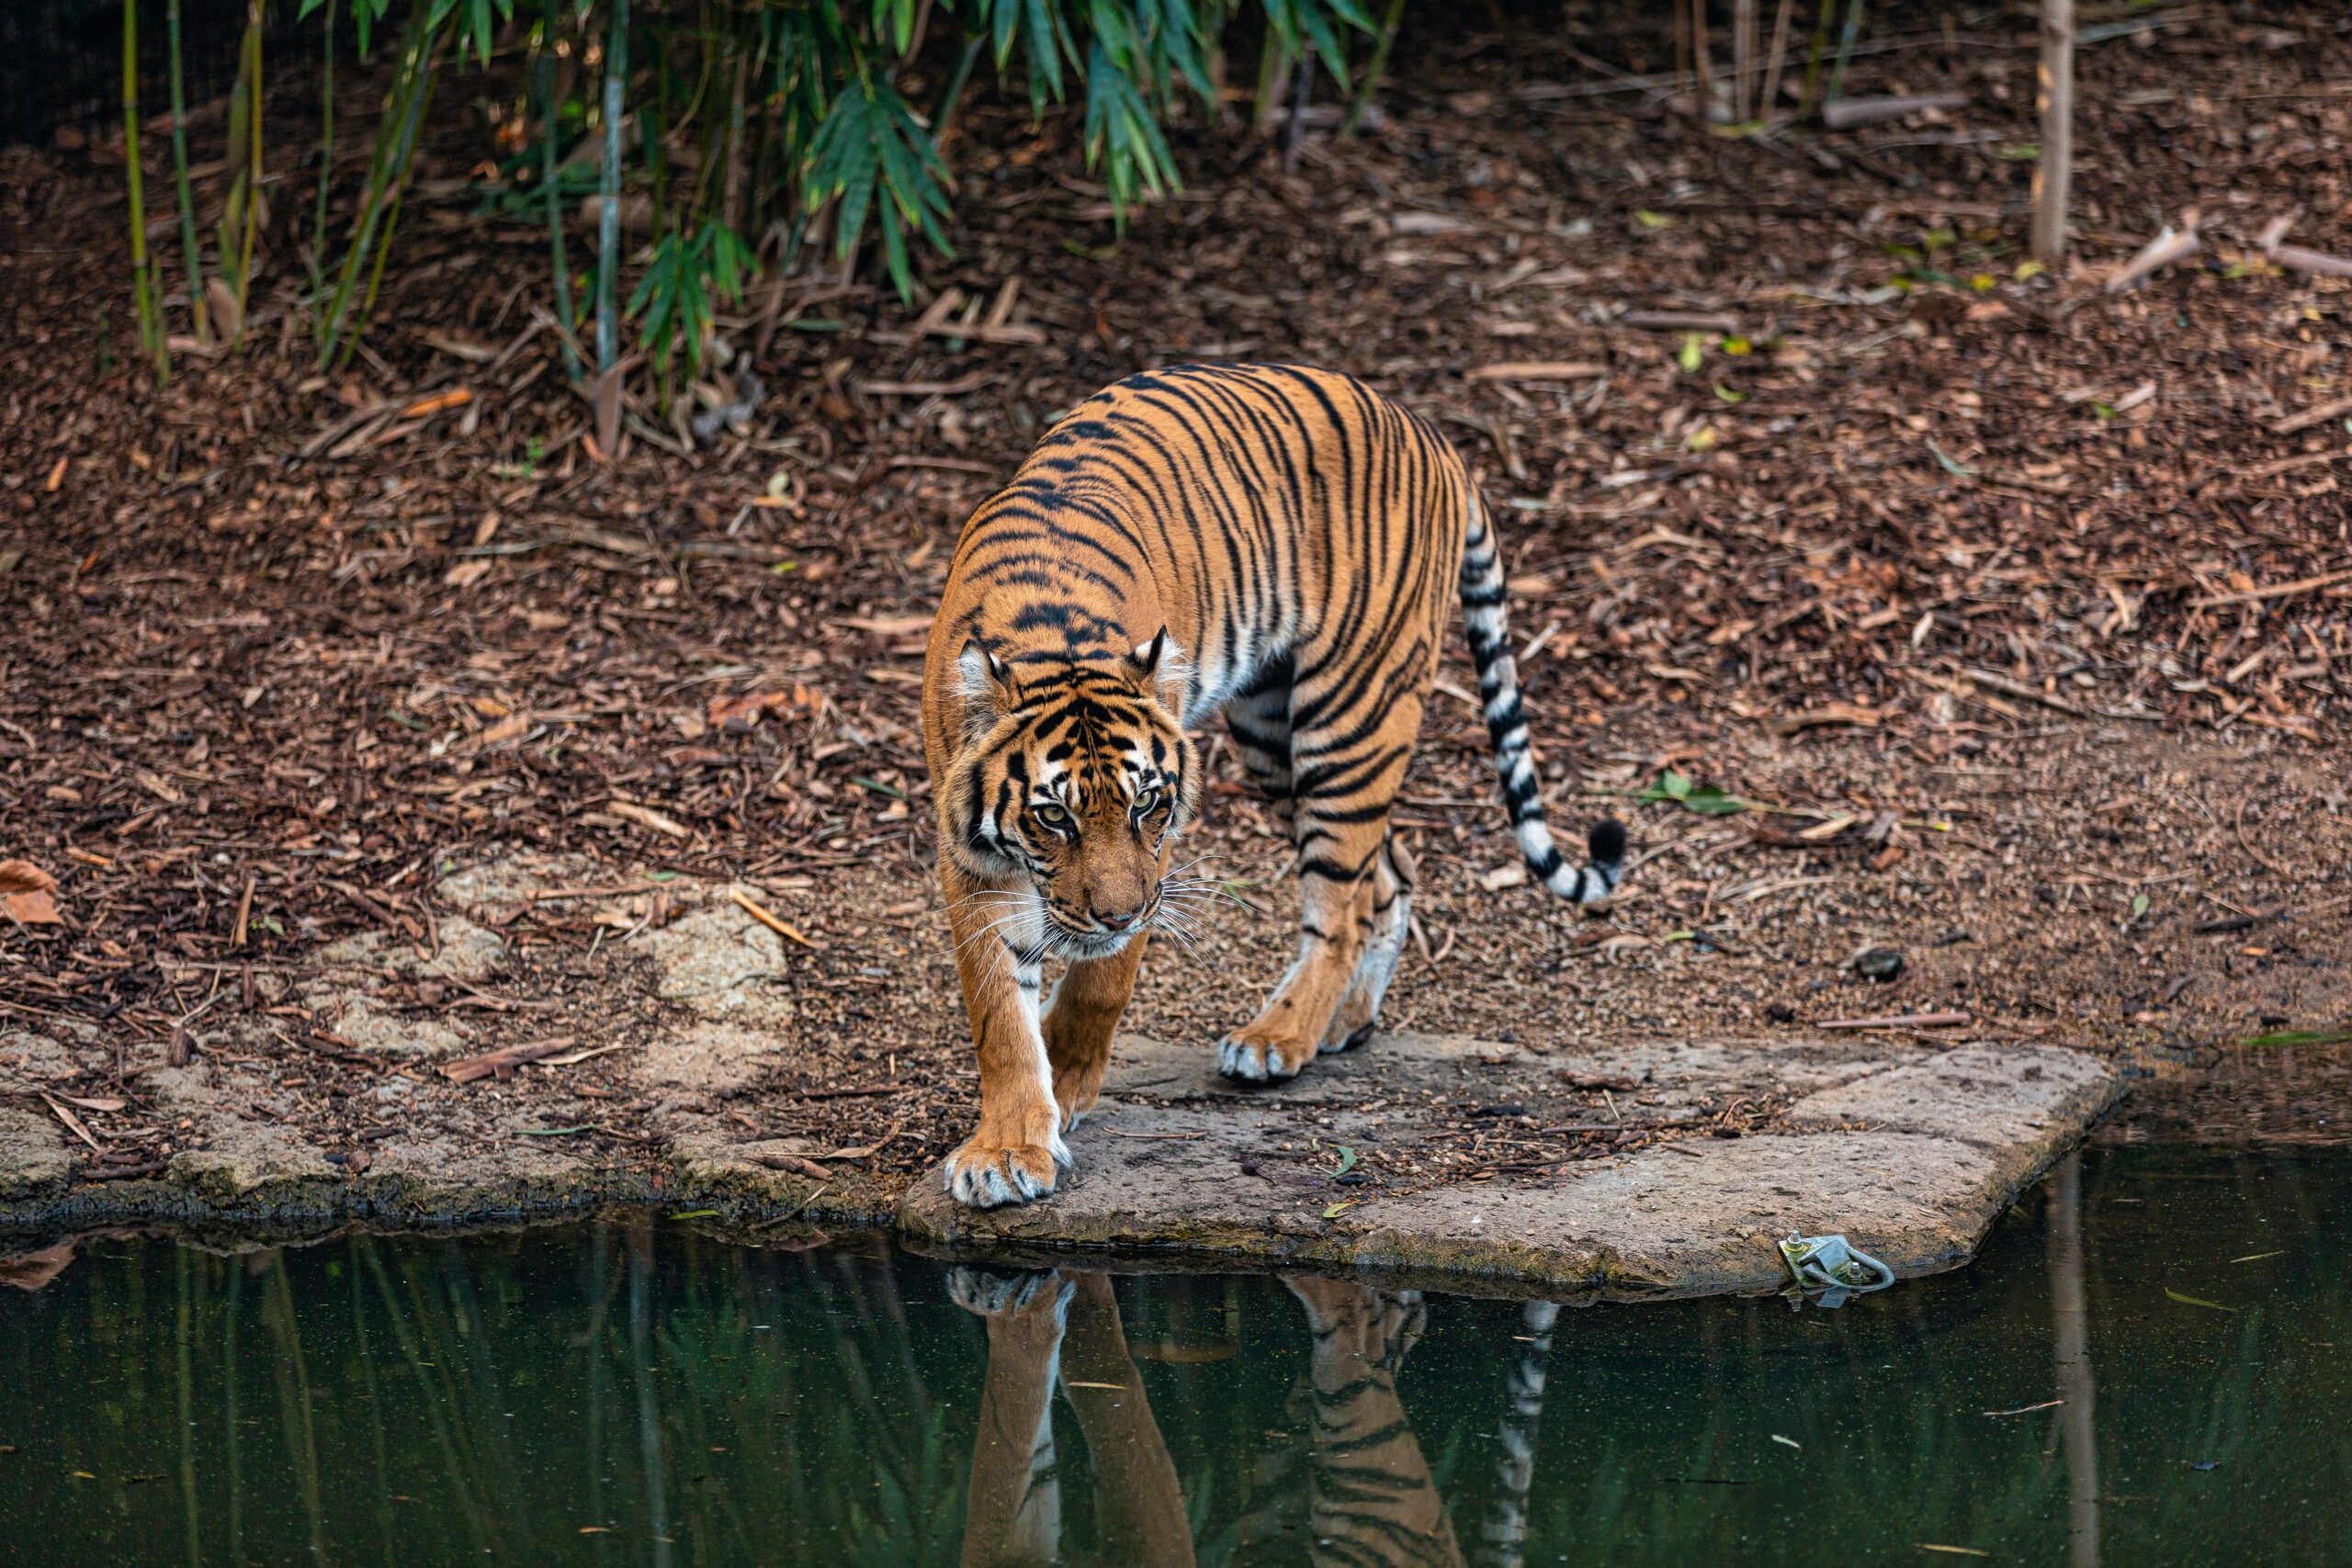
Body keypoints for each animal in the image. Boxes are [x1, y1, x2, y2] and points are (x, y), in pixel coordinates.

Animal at [926, 362, 1627, 1213]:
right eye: (1053, 817)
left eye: (1145, 804)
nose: (1118, 913)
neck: (1050, 640)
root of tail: (1431, 434)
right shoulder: (971, 859)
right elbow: (998, 1014)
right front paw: (1009, 1146)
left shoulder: (1157, 856)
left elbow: (1101, 981)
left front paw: (1065, 1082)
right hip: (1271, 733)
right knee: (1387, 873)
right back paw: (1344, 1020)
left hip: (1352, 716)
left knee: (1340, 901)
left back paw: (1278, 1037)